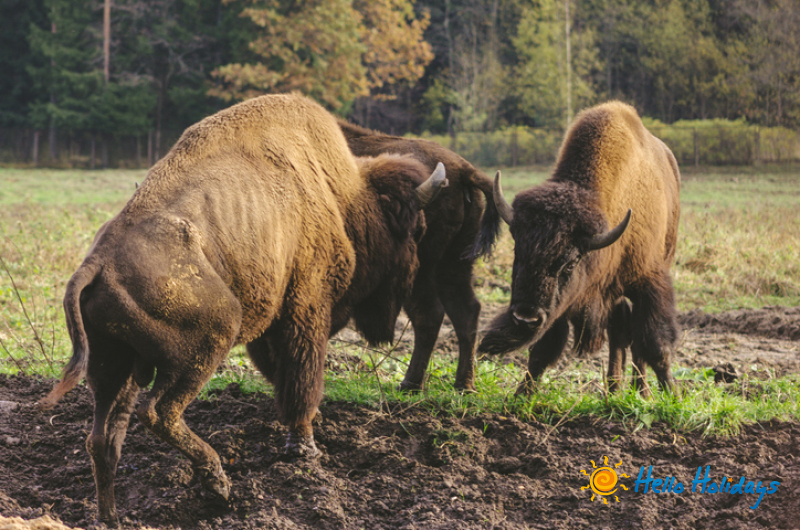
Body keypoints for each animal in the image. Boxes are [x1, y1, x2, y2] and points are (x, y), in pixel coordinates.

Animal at [37, 94, 448, 526]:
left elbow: (282, 375)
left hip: (114, 367)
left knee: (103, 438)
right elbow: (302, 375)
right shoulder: (306, 308)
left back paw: (112, 517)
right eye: (415, 230)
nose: (412, 274)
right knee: (159, 411)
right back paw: (218, 483)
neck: (343, 195)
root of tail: (97, 262)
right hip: (210, 341)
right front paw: (305, 446)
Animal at [338, 120, 501, 392]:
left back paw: (410, 383)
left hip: (421, 268)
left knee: (429, 313)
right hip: (453, 263)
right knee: (465, 311)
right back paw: (463, 385)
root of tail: (463, 169)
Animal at [478, 101, 680, 396]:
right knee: (620, 334)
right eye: (518, 252)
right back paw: (614, 389)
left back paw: (640, 390)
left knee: (634, 339)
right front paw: (521, 394)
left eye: (571, 262)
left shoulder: (650, 282)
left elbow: (656, 347)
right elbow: (542, 351)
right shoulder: (562, 304)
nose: (525, 318)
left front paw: (672, 395)